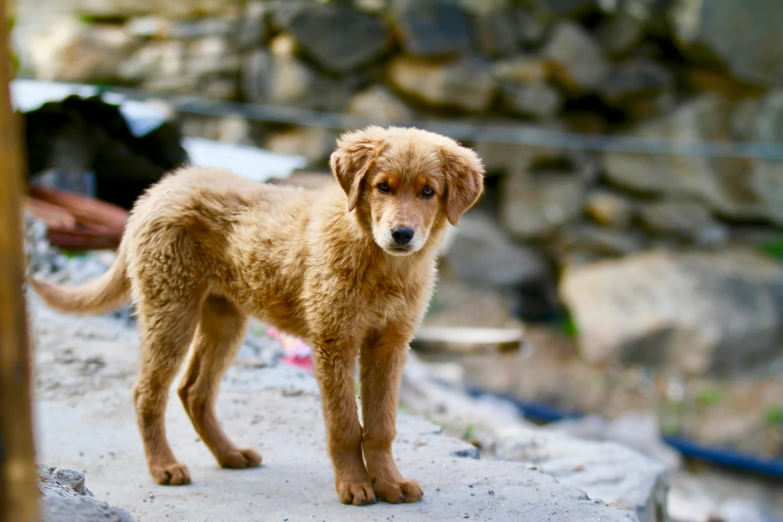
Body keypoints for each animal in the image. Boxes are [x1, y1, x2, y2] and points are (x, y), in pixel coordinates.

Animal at [32, 126, 484, 504]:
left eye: (428, 192)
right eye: (382, 187)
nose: (401, 235)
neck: (380, 262)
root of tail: (157, 190)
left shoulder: (389, 344)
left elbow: (381, 426)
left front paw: (389, 483)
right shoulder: (334, 341)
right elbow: (343, 424)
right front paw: (355, 486)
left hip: (225, 319)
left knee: (193, 391)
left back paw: (229, 454)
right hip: (170, 308)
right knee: (148, 392)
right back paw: (164, 466)